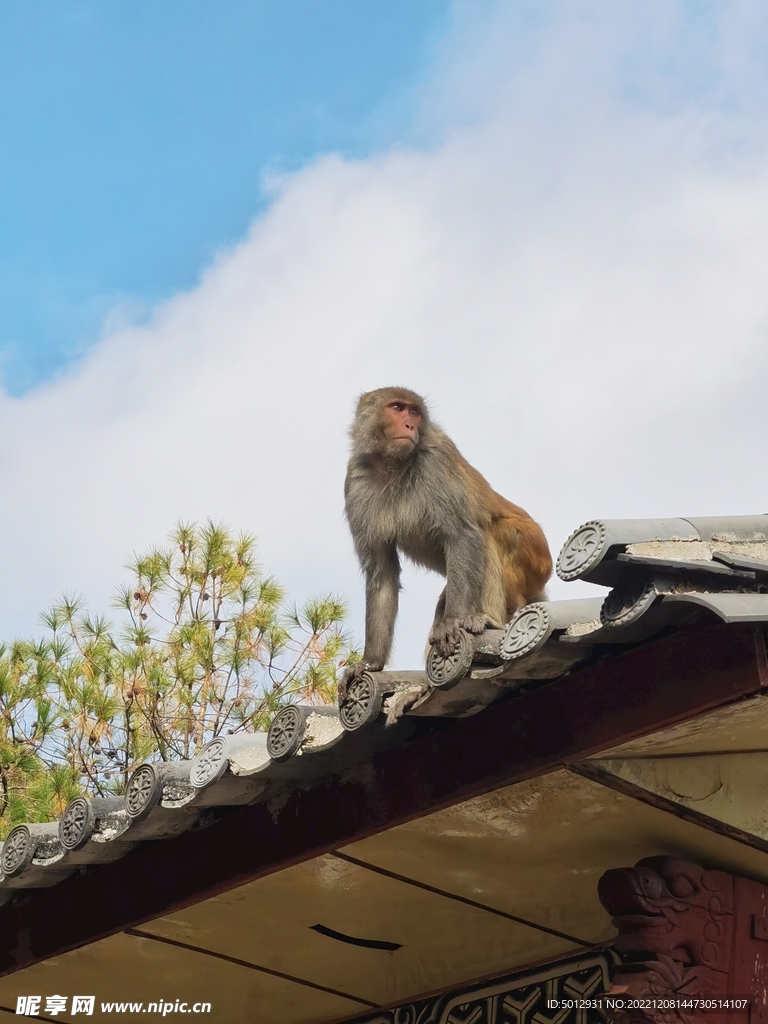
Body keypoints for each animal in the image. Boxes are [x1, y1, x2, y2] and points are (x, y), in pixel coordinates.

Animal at [342, 387, 552, 700]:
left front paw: (452, 621)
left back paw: (488, 619)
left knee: (488, 534)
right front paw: (371, 662)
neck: (393, 464)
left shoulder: (436, 459)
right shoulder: (355, 480)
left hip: (535, 557)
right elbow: (382, 573)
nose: (410, 425)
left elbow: (462, 535)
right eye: (397, 408)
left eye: (414, 412)